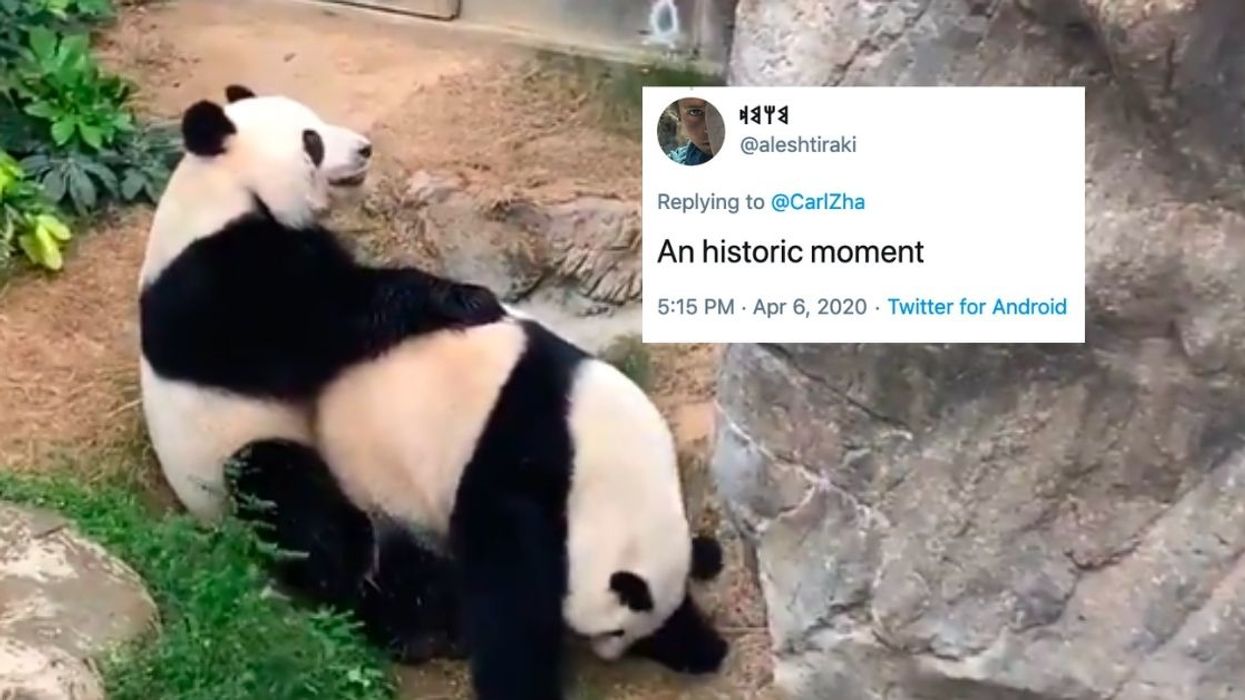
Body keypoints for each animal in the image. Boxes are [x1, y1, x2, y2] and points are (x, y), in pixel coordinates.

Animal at [137, 84, 506, 522]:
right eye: (311, 141)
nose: (365, 149)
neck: (225, 189)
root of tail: (204, 517)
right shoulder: (221, 283)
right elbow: (320, 321)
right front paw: (471, 299)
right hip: (230, 455)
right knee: (283, 486)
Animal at [226, 311, 732, 699]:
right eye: (614, 631)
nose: (608, 655)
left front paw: (698, 642)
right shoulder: (517, 461)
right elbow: (507, 584)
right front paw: (521, 684)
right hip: (363, 475)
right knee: (336, 539)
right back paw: (418, 629)